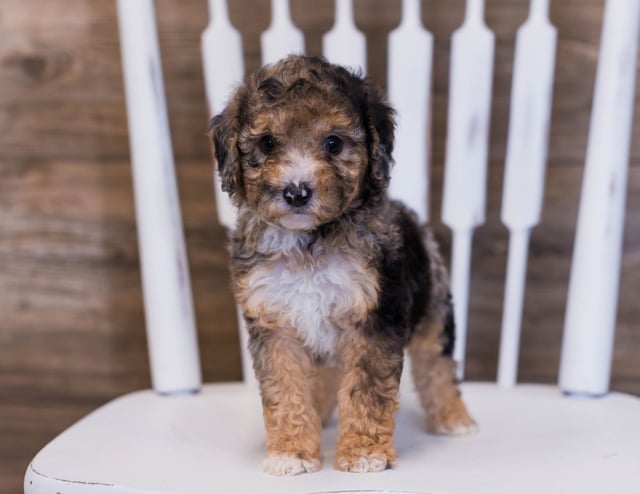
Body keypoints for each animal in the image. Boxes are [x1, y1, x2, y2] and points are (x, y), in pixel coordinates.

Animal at [210, 54, 476, 474]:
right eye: (267, 143)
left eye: (333, 143)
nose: (296, 192)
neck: (308, 241)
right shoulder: (273, 323)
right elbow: (285, 387)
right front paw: (291, 450)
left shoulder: (374, 319)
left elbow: (365, 391)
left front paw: (364, 452)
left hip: (433, 303)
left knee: (437, 363)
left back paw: (453, 417)